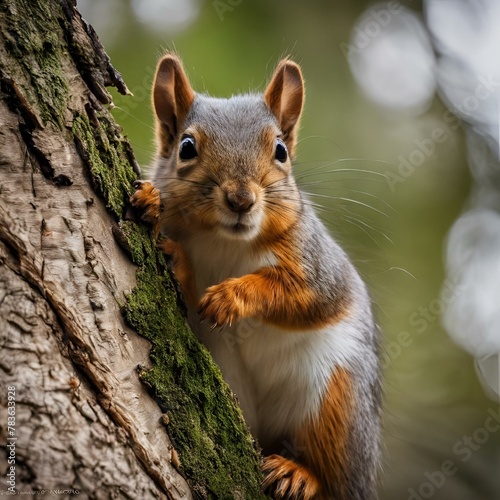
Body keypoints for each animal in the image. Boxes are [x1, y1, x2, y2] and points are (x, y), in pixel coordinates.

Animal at [131, 53, 380, 500]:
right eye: (186, 147)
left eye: (280, 150)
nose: (241, 199)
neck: (224, 242)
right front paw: (160, 222)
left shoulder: (318, 265)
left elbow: (303, 296)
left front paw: (231, 297)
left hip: (339, 403)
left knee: (333, 478)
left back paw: (298, 475)